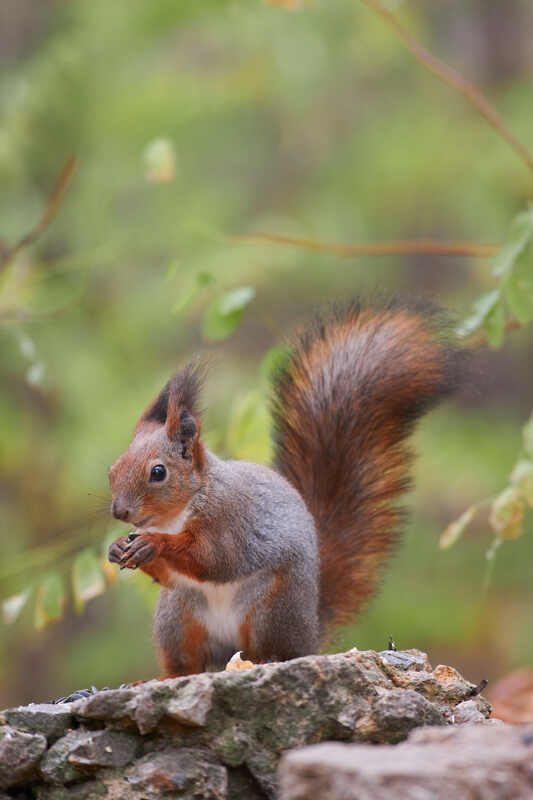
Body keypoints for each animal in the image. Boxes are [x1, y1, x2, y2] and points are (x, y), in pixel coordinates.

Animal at [108, 299, 465, 677]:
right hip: (177, 616)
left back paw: (267, 660)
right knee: (185, 661)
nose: (119, 511)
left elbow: (212, 559)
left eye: (158, 472)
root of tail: (311, 631)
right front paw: (117, 549)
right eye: (112, 470)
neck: (180, 510)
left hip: (271, 607)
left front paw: (153, 544)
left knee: (275, 648)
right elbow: (168, 574)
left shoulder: (229, 521)